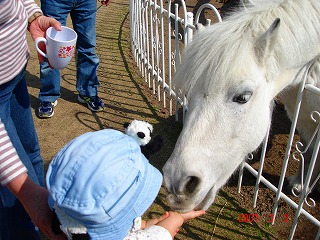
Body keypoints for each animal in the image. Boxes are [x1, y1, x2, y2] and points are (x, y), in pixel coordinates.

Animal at [162, 0, 320, 211]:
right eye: (187, 92)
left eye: (243, 97)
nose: (178, 184)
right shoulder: (302, 113)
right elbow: (310, 149)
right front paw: (300, 183)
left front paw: (302, 186)